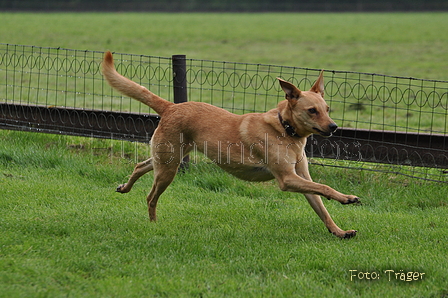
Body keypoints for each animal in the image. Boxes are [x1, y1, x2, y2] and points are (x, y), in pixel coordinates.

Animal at [102, 50, 360, 237]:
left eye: (327, 109)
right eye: (312, 110)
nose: (334, 127)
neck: (285, 130)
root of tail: (171, 107)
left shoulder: (302, 177)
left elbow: (322, 207)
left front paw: (339, 231)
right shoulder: (287, 179)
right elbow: (324, 187)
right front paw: (347, 198)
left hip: (167, 158)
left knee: (140, 166)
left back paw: (124, 188)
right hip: (168, 167)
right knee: (150, 197)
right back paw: (154, 225)